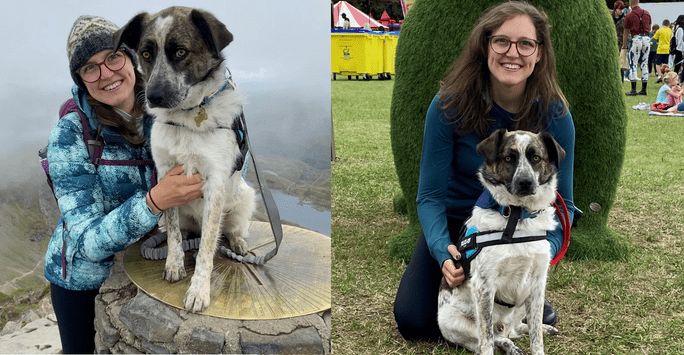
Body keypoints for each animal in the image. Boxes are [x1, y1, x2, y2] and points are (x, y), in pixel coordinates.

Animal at [113, 6, 255, 312]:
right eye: (145, 53)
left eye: (180, 52)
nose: (153, 97)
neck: (187, 119)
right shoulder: (166, 178)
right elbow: (175, 234)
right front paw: (174, 264)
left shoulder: (215, 184)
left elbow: (207, 250)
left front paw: (199, 290)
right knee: (185, 232)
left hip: (244, 198)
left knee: (231, 230)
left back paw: (237, 242)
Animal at [438, 130, 568, 355]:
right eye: (508, 158)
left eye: (536, 158)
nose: (525, 182)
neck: (517, 217)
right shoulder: (484, 286)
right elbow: (487, 341)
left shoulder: (537, 284)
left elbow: (536, 336)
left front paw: (540, 336)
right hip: (455, 322)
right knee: (496, 337)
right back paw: (510, 346)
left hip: (521, 307)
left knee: (518, 328)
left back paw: (542, 329)